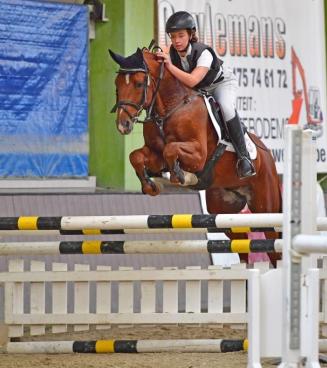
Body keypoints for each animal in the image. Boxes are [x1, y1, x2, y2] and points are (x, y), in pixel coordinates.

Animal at [109, 47, 284, 266]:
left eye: (139, 83)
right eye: (117, 84)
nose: (122, 125)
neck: (170, 108)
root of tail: (267, 155)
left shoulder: (198, 155)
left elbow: (171, 150)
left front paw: (181, 176)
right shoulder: (155, 153)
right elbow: (137, 156)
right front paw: (150, 185)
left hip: (265, 206)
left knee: (274, 246)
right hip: (223, 209)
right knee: (241, 241)